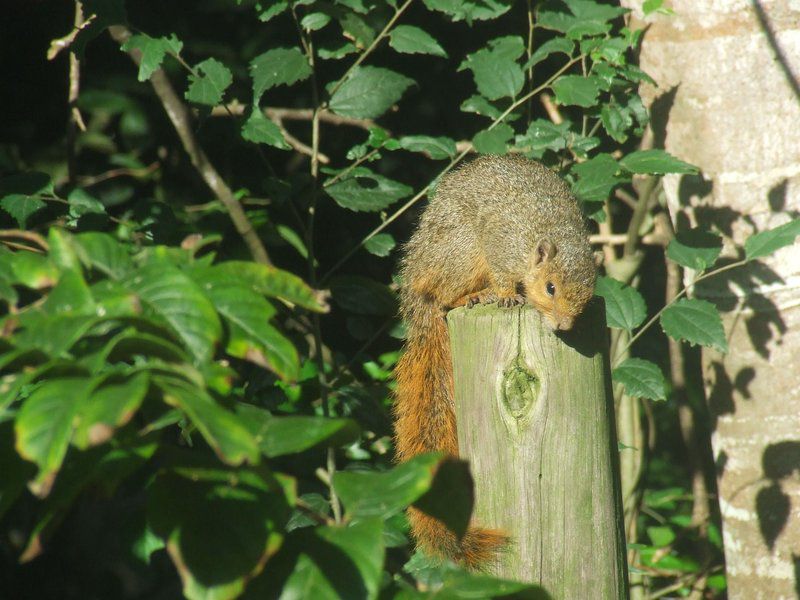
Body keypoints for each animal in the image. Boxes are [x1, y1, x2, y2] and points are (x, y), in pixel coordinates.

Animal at [394, 154, 600, 568]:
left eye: (588, 296)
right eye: (550, 288)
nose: (563, 326)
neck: (544, 233)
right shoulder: (500, 243)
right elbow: (505, 276)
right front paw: (507, 294)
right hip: (460, 252)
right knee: (442, 297)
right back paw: (473, 296)